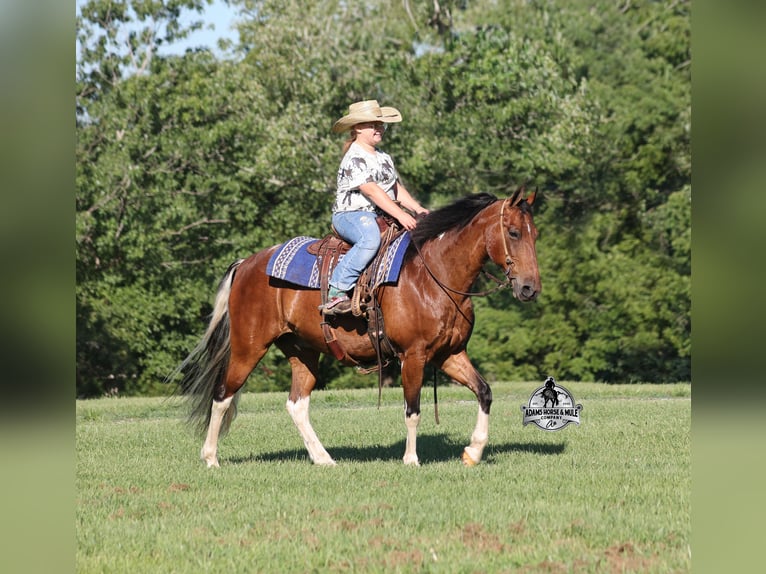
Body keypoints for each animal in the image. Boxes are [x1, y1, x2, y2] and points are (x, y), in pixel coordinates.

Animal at [174, 189, 541, 467]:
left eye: (535, 234)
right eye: (513, 232)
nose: (530, 288)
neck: (433, 275)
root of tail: (246, 264)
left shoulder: (450, 354)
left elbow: (484, 391)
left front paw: (473, 452)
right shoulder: (414, 356)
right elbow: (412, 409)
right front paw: (411, 460)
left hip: (302, 351)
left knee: (296, 404)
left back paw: (323, 458)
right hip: (248, 347)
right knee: (223, 395)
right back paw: (210, 458)